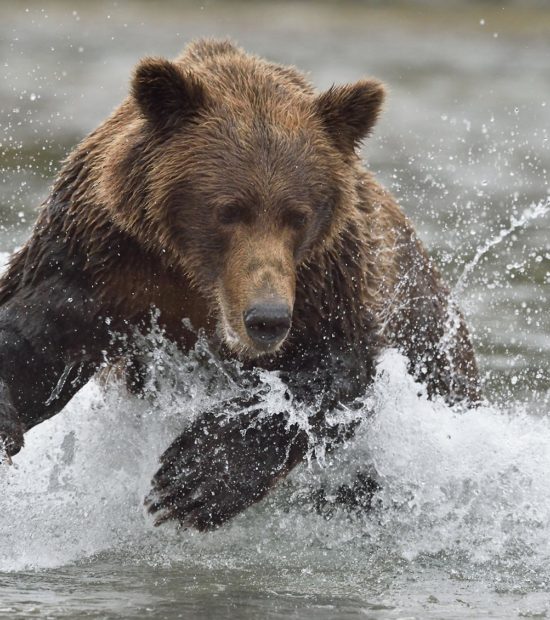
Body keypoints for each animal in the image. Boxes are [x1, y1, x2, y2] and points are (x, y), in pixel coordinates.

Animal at [0, 41, 480, 532]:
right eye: (228, 210)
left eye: (297, 215)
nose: (267, 319)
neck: (192, 274)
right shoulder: (97, 258)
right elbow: (37, 343)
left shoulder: (328, 277)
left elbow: (339, 367)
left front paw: (194, 478)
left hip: (436, 355)